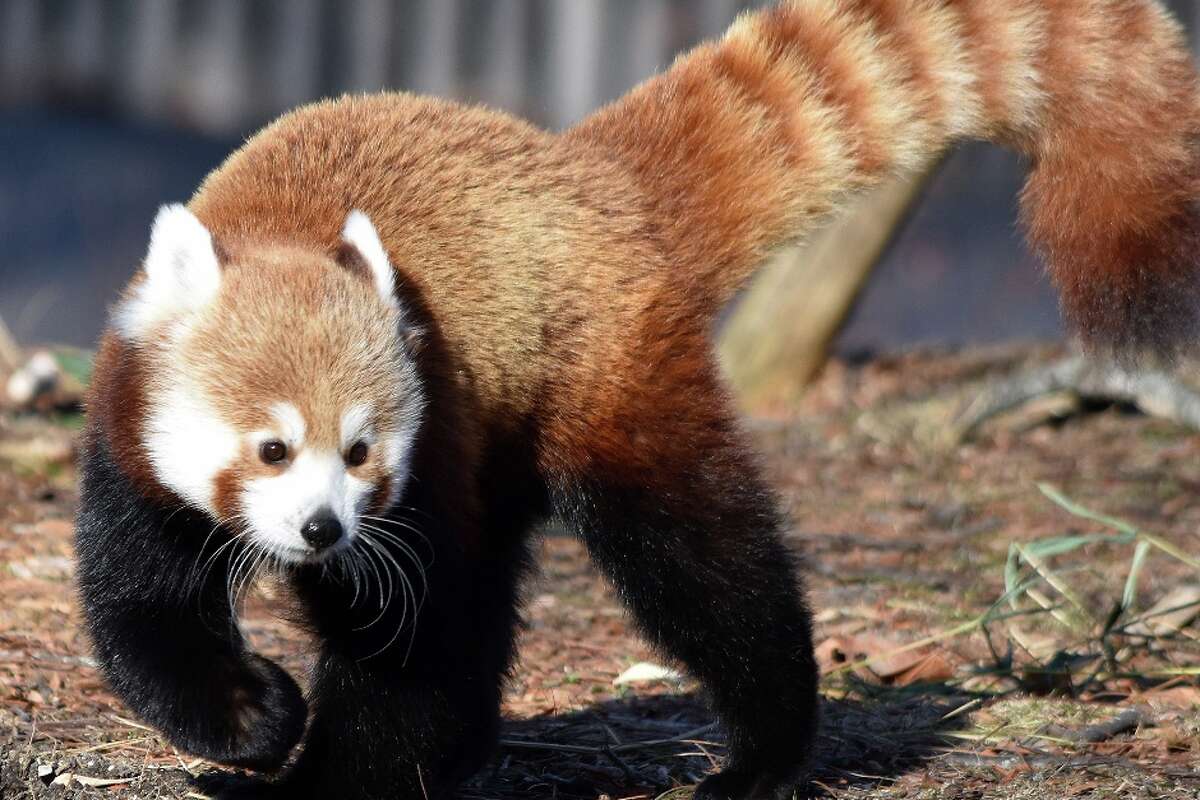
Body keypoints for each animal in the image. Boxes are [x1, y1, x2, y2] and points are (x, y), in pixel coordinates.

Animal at [75, 3, 1200, 796]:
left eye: (359, 450)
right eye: (272, 448)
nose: (322, 529)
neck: (278, 227)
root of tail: (582, 166)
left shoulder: (424, 450)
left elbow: (410, 647)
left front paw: (327, 778)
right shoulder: (130, 438)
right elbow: (143, 612)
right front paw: (250, 716)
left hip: (605, 374)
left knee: (701, 558)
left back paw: (765, 748)